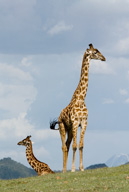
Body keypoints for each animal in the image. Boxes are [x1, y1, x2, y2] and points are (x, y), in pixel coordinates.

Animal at [50, 44, 106, 173]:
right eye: (95, 52)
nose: (104, 58)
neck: (81, 99)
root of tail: (59, 116)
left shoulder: (84, 122)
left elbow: (80, 145)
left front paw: (81, 168)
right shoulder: (76, 122)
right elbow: (75, 146)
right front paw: (73, 169)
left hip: (70, 130)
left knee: (67, 144)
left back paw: (65, 169)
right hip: (63, 127)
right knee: (64, 146)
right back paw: (64, 170)